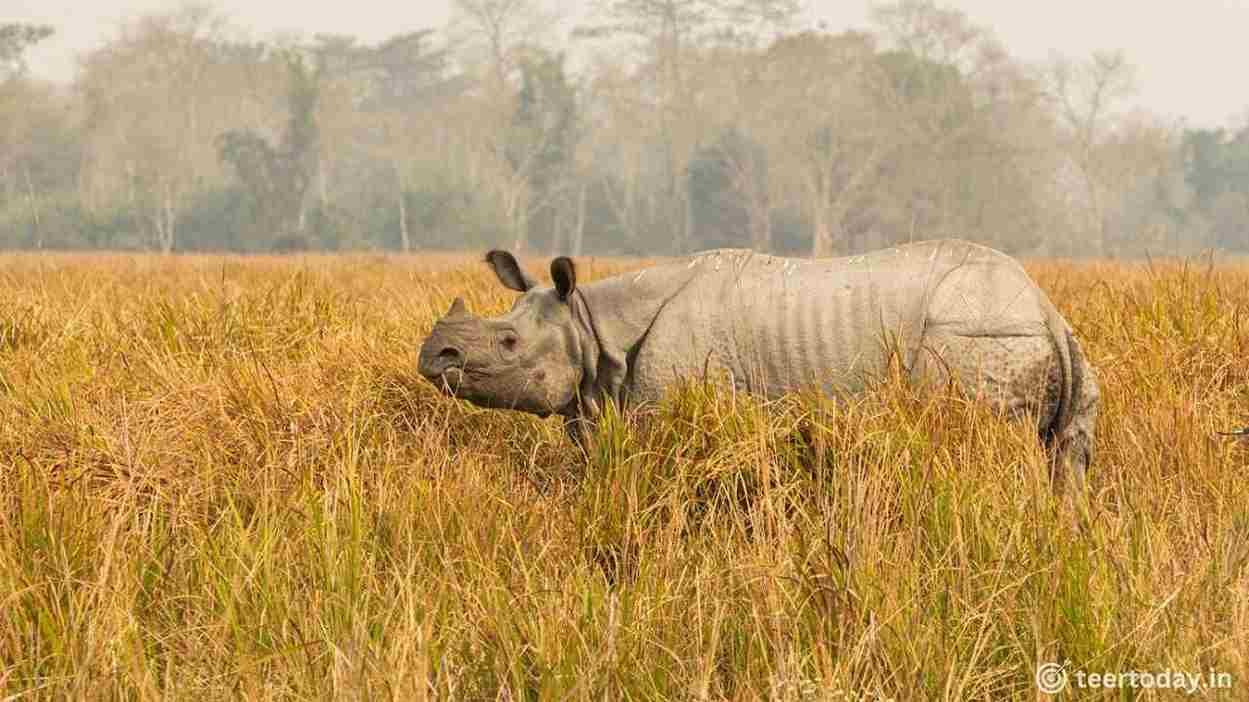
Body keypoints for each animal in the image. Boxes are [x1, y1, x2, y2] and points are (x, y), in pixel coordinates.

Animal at [418, 240, 1100, 490]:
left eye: (507, 343)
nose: (432, 356)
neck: (590, 325)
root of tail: (1046, 306)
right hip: (1035, 339)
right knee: (1067, 461)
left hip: (975, 334)